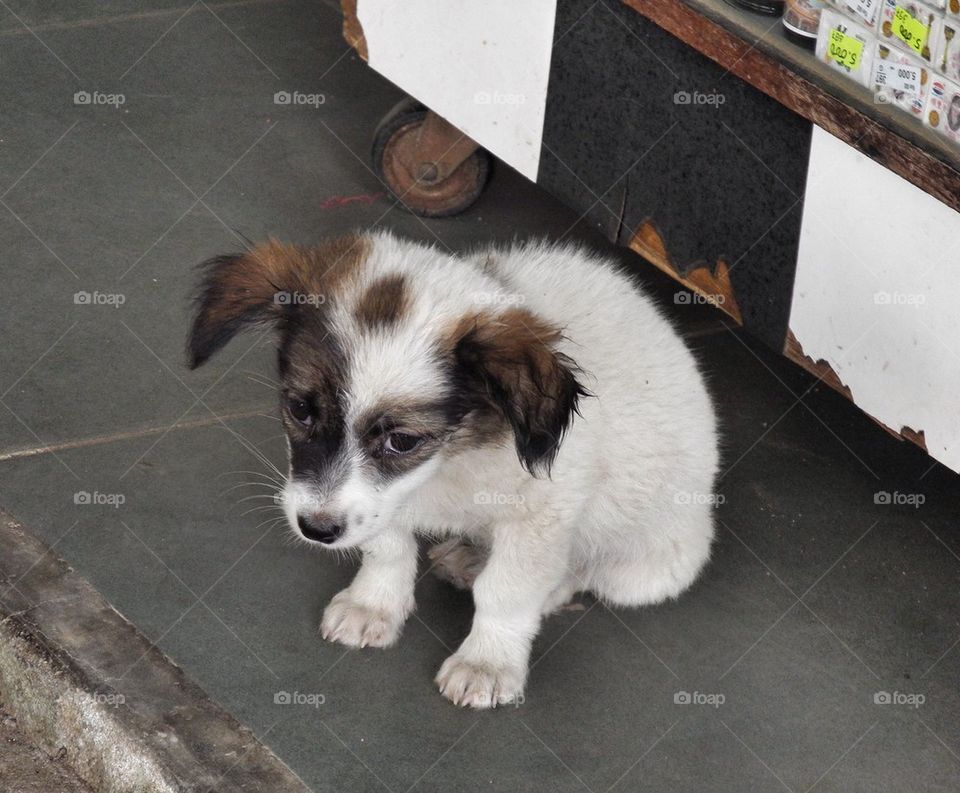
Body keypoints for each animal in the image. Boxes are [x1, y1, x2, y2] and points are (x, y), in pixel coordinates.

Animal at [188, 232, 716, 708]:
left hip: (644, 568)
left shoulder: (540, 520)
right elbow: (387, 548)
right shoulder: (381, 503)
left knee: (583, 570)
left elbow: (507, 592)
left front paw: (488, 663)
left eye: (402, 440)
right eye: (300, 409)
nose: (316, 531)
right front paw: (373, 604)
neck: (453, 458)